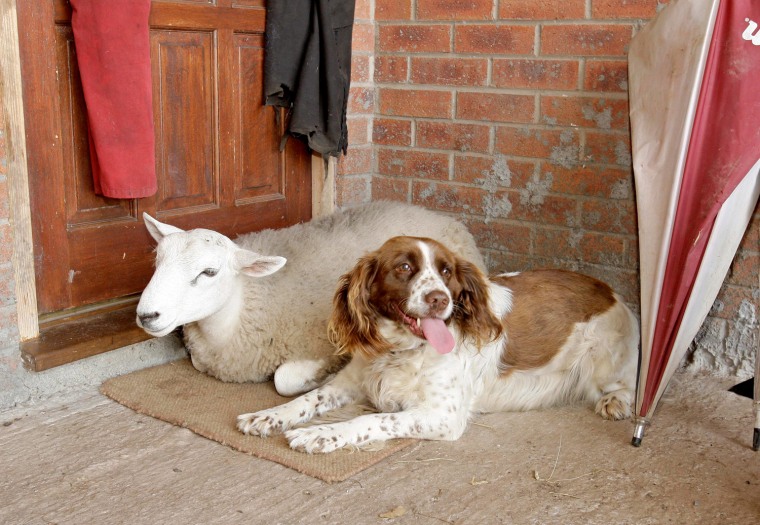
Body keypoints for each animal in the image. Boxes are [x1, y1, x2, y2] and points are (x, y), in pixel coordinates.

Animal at [135, 203, 486, 396]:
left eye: (209, 272)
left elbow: (284, 379)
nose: (146, 315)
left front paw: (324, 376)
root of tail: (436, 213)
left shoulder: (323, 343)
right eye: (157, 261)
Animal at [236, 235, 636, 452]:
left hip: (605, 363)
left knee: (632, 382)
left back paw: (616, 402)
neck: (401, 351)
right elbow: (304, 399)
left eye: (446, 271)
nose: (439, 299)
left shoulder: (442, 415)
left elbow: (374, 420)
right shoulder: (348, 383)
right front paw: (267, 416)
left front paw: (320, 434)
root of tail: (612, 292)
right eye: (403, 267)